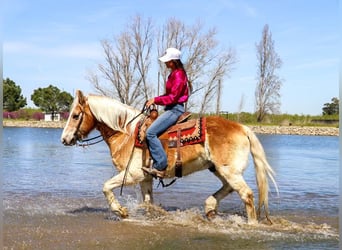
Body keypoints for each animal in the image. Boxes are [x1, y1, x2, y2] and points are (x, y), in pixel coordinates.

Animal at [61, 90, 280, 225]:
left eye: (75, 115)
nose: (64, 139)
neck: (126, 133)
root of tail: (242, 127)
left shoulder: (131, 174)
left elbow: (106, 187)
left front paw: (121, 211)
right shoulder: (145, 178)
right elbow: (148, 202)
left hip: (229, 170)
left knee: (247, 195)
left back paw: (251, 224)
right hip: (218, 169)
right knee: (228, 188)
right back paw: (210, 207)